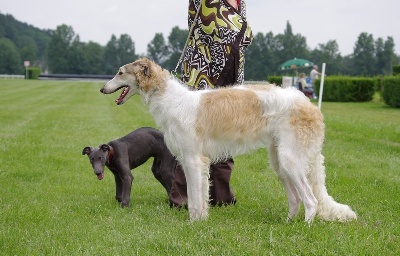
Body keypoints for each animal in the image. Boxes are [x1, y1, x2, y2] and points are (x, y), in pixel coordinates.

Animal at [100, 58, 356, 224]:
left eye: (120, 72)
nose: (102, 89)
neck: (170, 99)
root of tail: (310, 106)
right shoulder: (197, 162)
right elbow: (200, 197)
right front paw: (201, 222)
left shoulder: (192, 159)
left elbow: (194, 199)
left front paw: (193, 225)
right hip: (280, 161)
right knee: (295, 199)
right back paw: (287, 223)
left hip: (290, 160)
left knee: (311, 200)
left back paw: (304, 228)